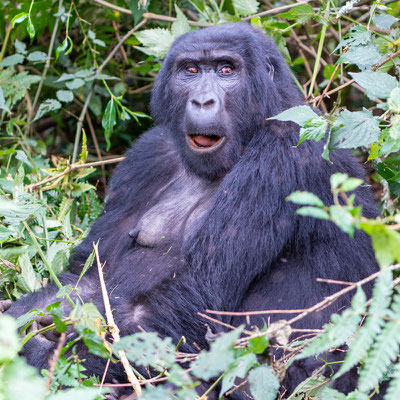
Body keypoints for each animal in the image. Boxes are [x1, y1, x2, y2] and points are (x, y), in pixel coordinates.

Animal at [7, 23, 382, 398]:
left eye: (226, 70)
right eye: (191, 70)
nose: (202, 100)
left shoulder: (286, 149)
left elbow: (196, 293)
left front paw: (43, 358)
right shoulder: (148, 153)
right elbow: (88, 274)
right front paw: (23, 321)